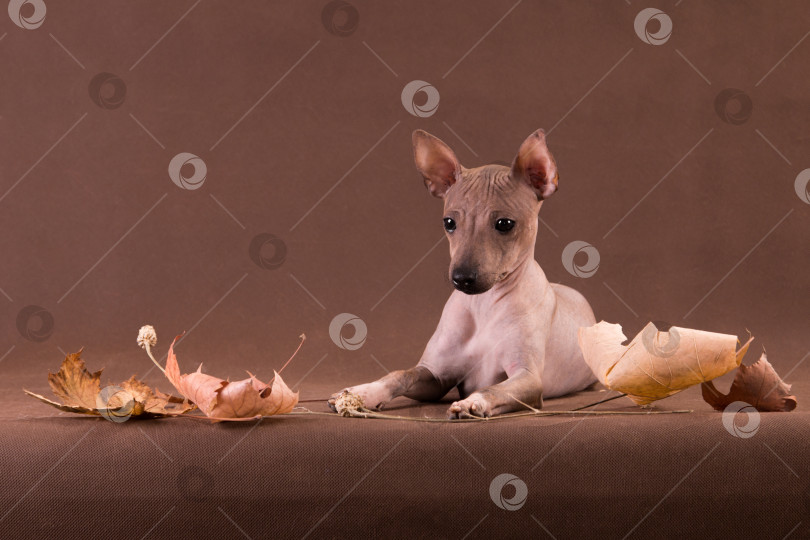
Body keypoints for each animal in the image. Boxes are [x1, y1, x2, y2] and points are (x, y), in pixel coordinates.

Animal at [326, 130, 596, 418]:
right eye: (449, 223)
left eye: (505, 224)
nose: (462, 278)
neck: (484, 306)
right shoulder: (435, 377)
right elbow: (399, 374)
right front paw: (361, 393)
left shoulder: (528, 378)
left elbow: (494, 389)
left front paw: (472, 403)